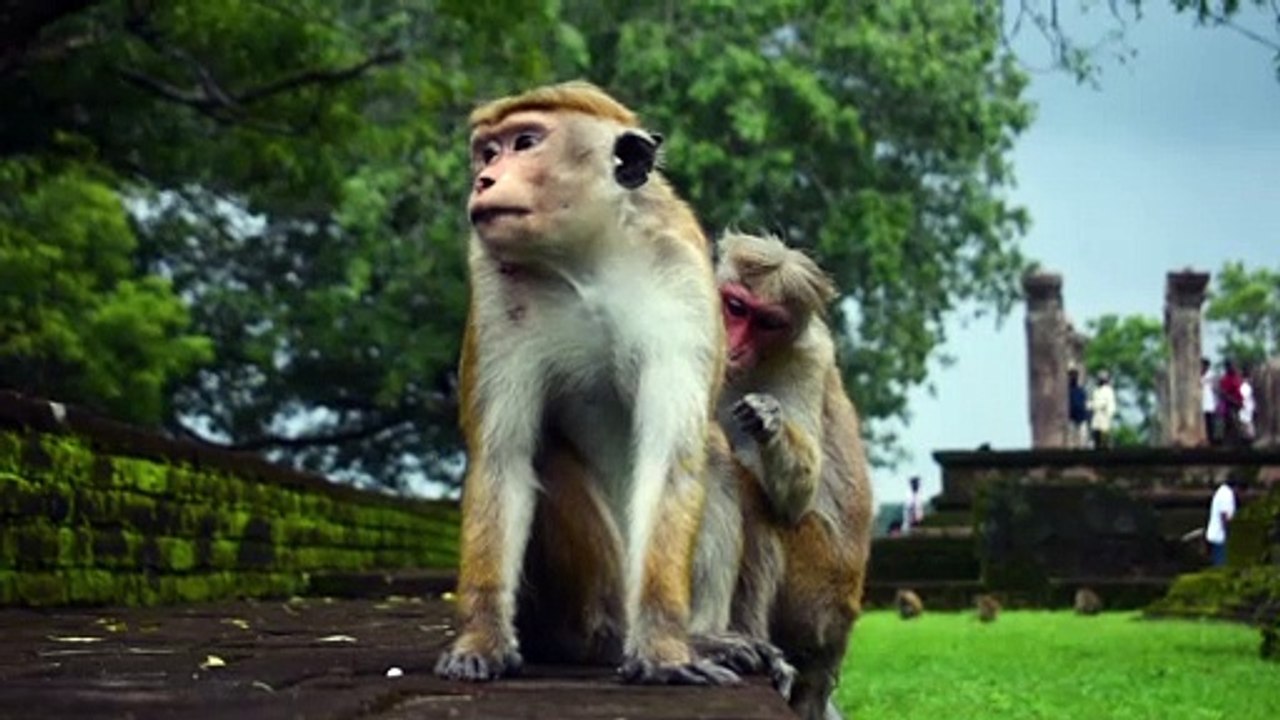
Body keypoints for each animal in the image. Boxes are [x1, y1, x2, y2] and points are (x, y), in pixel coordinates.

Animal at [433, 81, 736, 686]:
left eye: (526, 143)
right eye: (487, 152)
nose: (484, 180)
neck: (589, 256)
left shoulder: (684, 283)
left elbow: (671, 456)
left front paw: (664, 648)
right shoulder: (494, 287)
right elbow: (504, 456)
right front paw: (481, 638)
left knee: (713, 448)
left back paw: (703, 638)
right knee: (545, 454)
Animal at [691, 231, 874, 720]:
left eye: (768, 323)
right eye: (736, 307)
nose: (734, 344)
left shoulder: (808, 357)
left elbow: (796, 497)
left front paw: (767, 419)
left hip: (819, 595)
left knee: (756, 502)